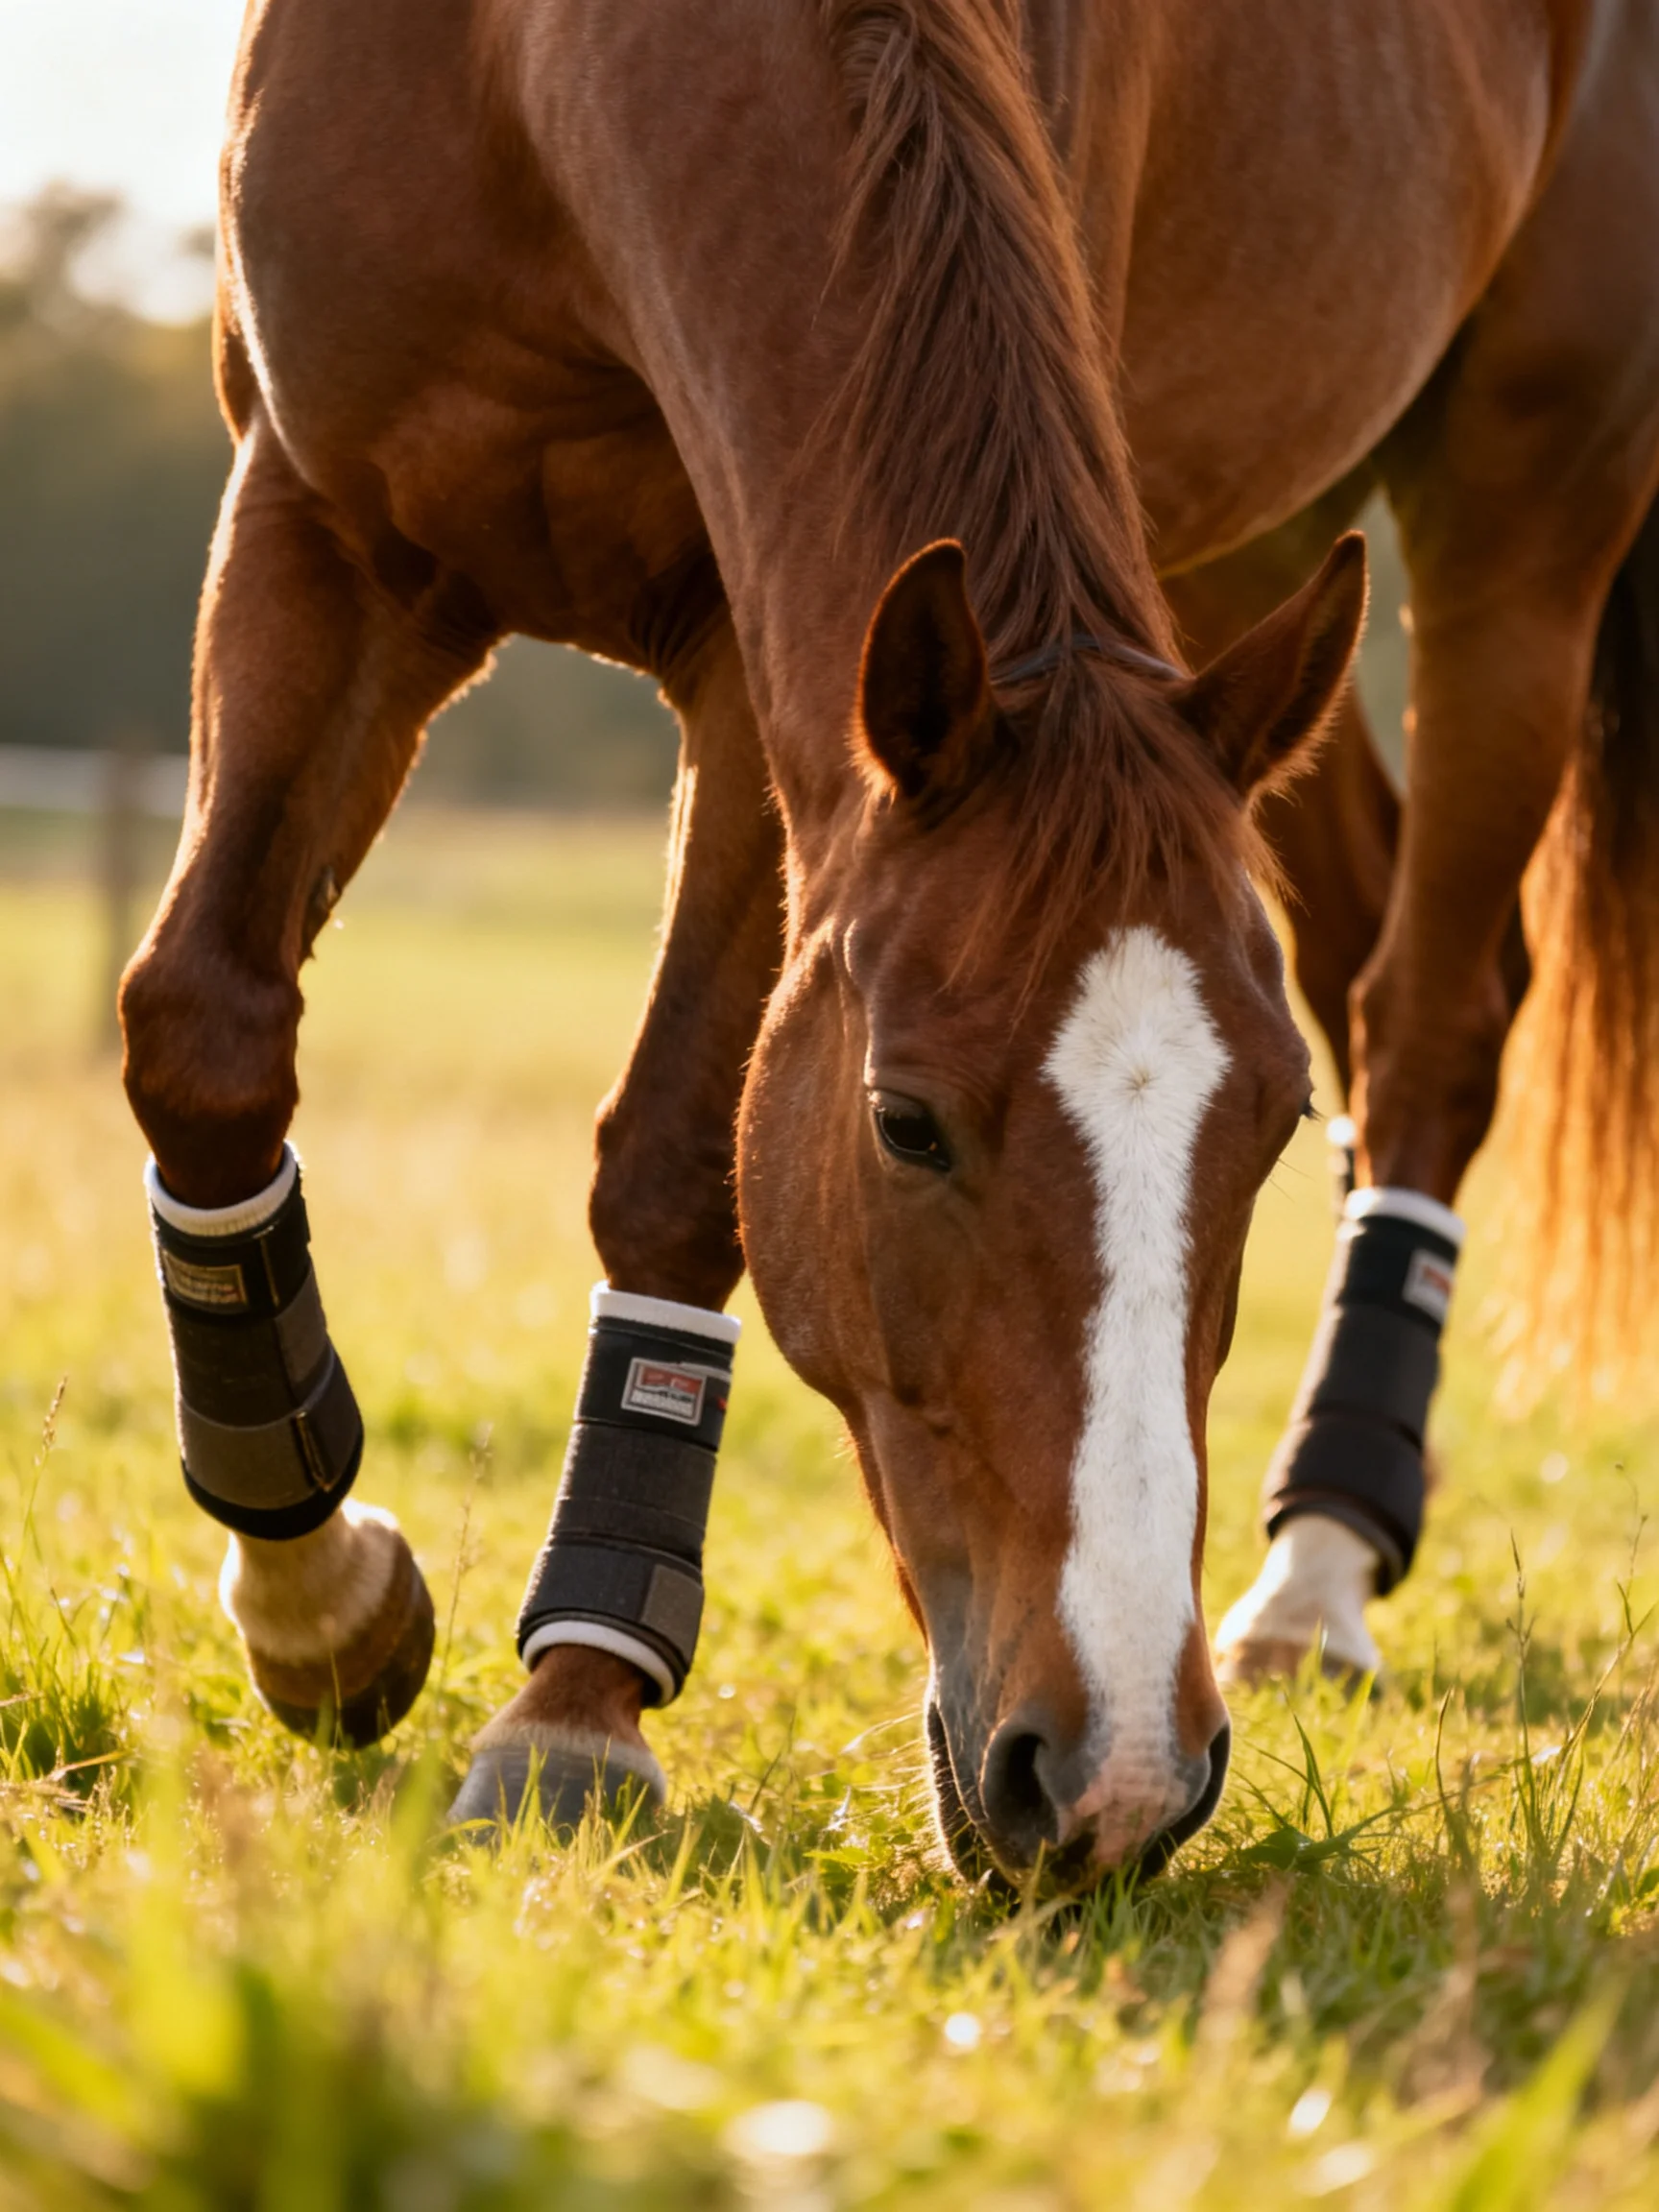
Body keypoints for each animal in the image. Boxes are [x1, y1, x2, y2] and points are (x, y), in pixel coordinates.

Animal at [119, 0, 1659, 1888]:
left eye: (1260, 1134)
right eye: (904, 1125)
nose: (1119, 1774)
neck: (532, 72)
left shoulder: (754, 655)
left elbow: (676, 1163)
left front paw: (574, 1702)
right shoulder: (320, 524)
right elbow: (204, 1036)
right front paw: (322, 1605)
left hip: (1525, 522)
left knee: (1436, 1014)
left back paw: (1317, 1570)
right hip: (1245, 577)